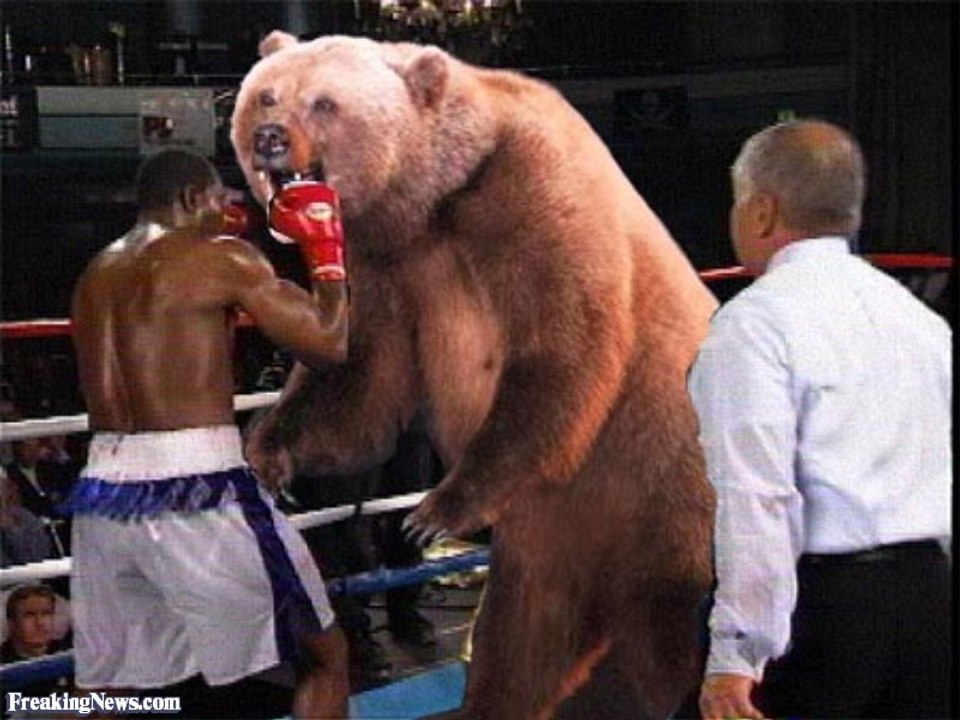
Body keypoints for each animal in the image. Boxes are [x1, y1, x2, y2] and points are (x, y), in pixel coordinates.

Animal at [231, 32, 718, 720]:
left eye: (325, 102)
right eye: (267, 93)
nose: (270, 137)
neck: (433, 200)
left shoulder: (532, 198)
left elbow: (562, 346)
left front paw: (435, 509)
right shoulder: (390, 266)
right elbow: (359, 376)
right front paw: (267, 454)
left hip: (665, 504)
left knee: (668, 637)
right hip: (548, 560)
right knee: (516, 651)